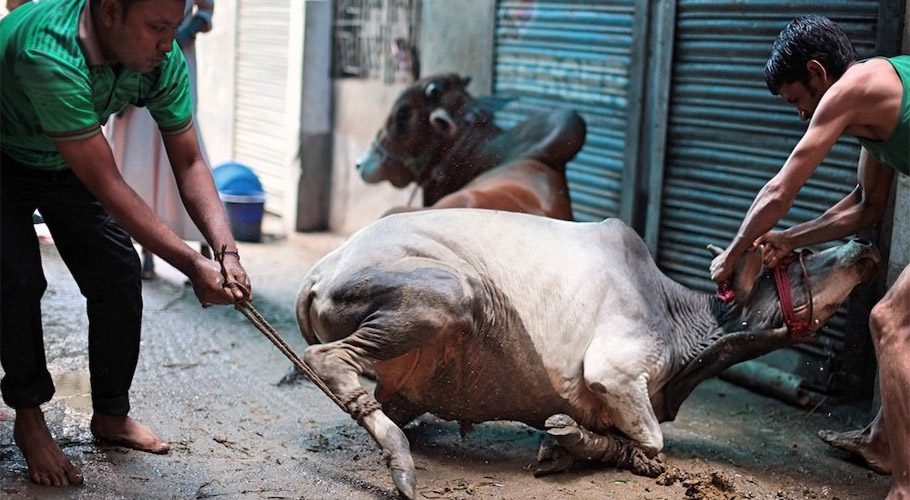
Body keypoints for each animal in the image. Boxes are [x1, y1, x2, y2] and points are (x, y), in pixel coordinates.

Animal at [296, 209, 880, 498]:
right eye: (806, 250)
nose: (865, 245)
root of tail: (322, 269)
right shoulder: (614, 370)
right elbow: (653, 442)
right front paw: (581, 444)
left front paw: (566, 445)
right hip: (450, 291)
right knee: (327, 359)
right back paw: (401, 465)